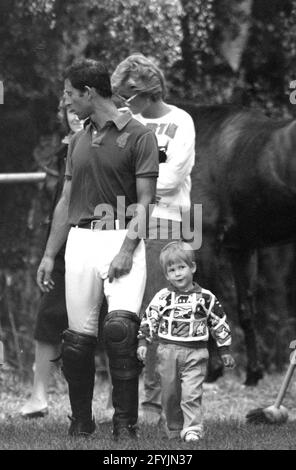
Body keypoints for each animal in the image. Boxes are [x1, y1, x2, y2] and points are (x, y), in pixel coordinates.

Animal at [177, 103, 296, 386]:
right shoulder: (242, 249)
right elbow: (246, 310)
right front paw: (254, 372)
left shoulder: (205, 240)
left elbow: (206, 301)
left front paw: (212, 370)